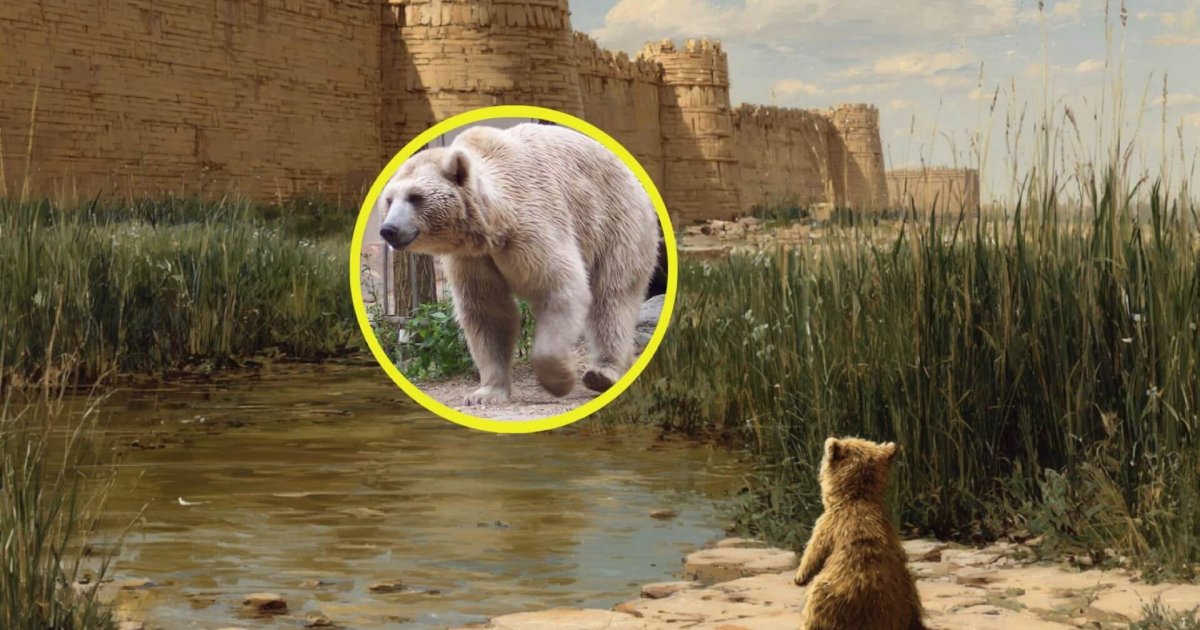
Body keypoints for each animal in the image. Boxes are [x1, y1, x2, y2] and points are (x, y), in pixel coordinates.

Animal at [377, 122, 659, 406]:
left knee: (612, 297)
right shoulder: (472, 258)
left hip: (616, 223)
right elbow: (487, 310)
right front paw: (484, 393)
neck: (494, 225)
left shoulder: (532, 224)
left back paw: (602, 373)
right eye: (389, 200)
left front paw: (559, 381)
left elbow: (560, 288)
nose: (389, 229)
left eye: (416, 197)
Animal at [793, 437, 926, 630]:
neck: (856, 497)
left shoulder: (828, 525)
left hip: (829, 597)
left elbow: (814, 552)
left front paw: (800, 576)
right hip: (907, 596)